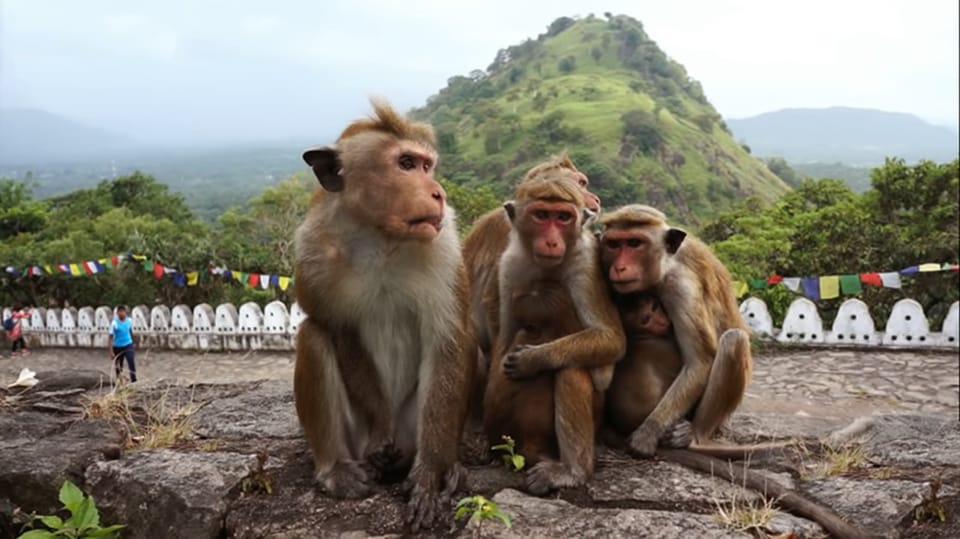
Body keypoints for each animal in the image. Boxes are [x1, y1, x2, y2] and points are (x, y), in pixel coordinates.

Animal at [290, 99, 474, 532]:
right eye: (406, 164)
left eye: (427, 165)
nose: (438, 193)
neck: (380, 238)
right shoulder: (313, 253)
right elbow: (339, 330)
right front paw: (378, 434)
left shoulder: (444, 245)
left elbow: (446, 343)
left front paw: (429, 476)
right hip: (353, 437)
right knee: (313, 334)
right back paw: (337, 468)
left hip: (411, 428)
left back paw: (445, 468)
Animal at [484, 175, 628, 496]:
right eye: (541, 215)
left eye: (563, 217)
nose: (551, 240)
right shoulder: (509, 266)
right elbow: (505, 336)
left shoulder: (585, 266)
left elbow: (611, 341)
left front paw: (533, 359)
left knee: (571, 370)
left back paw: (573, 472)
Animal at [600, 205, 752, 458]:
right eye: (614, 244)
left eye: (634, 243)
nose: (619, 267)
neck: (666, 265)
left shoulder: (681, 287)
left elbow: (700, 360)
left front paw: (648, 432)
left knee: (734, 340)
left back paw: (694, 435)